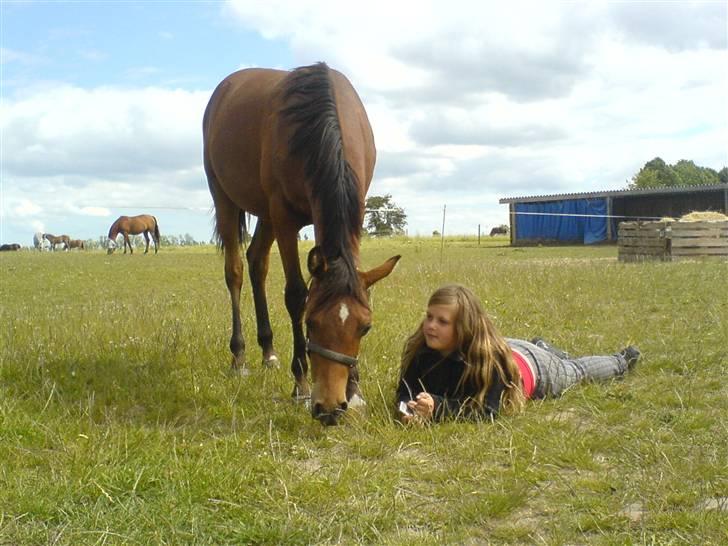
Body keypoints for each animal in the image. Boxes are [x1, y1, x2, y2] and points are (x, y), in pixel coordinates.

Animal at [203, 61, 398, 422]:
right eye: (311, 323)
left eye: (365, 328)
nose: (331, 408)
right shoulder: (284, 216)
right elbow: (295, 294)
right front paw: (301, 383)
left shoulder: (358, 208)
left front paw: (356, 390)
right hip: (226, 199)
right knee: (235, 271)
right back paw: (239, 357)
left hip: (264, 213)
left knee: (257, 262)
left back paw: (268, 351)